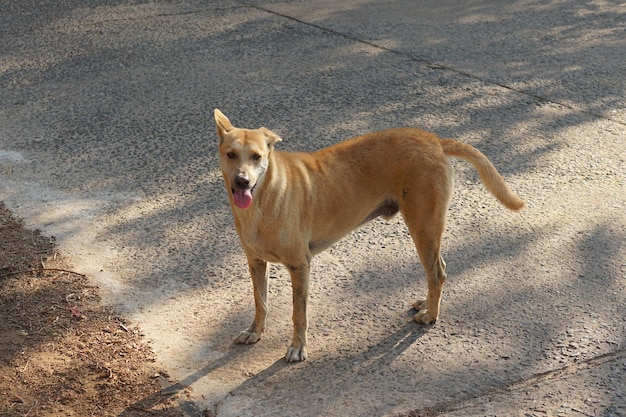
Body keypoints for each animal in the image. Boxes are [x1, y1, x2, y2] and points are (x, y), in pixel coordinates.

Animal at [214, 109, 520, 360]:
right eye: (231, 154)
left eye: (257, 156)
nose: (242, 181)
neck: (264, 199)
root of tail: (434, 139)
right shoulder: (256, 262)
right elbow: (260, 302)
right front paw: (255, 331)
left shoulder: (300, 266)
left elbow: (298, 313)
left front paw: (298, 347)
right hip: (426, 230)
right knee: (439, 270)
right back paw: (427, 303)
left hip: (423, 226)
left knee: (436, 273)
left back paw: (431, 315)